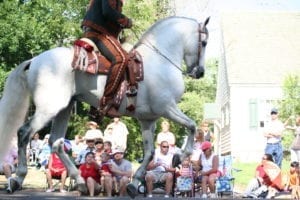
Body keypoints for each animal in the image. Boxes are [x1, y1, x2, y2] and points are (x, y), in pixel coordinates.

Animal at [0, 16, 209, 197]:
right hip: (49, 108)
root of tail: (35, 60)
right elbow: (192, 126)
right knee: (24, 133)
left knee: (56, 142)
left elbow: (149, 153)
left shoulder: (148, 120)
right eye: (205, 42)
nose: (200, 72)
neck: (160, 62)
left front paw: (134, 184)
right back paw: (17, 179)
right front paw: (179, 157)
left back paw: (81, 183)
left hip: (64, 109)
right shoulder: (167, 107)